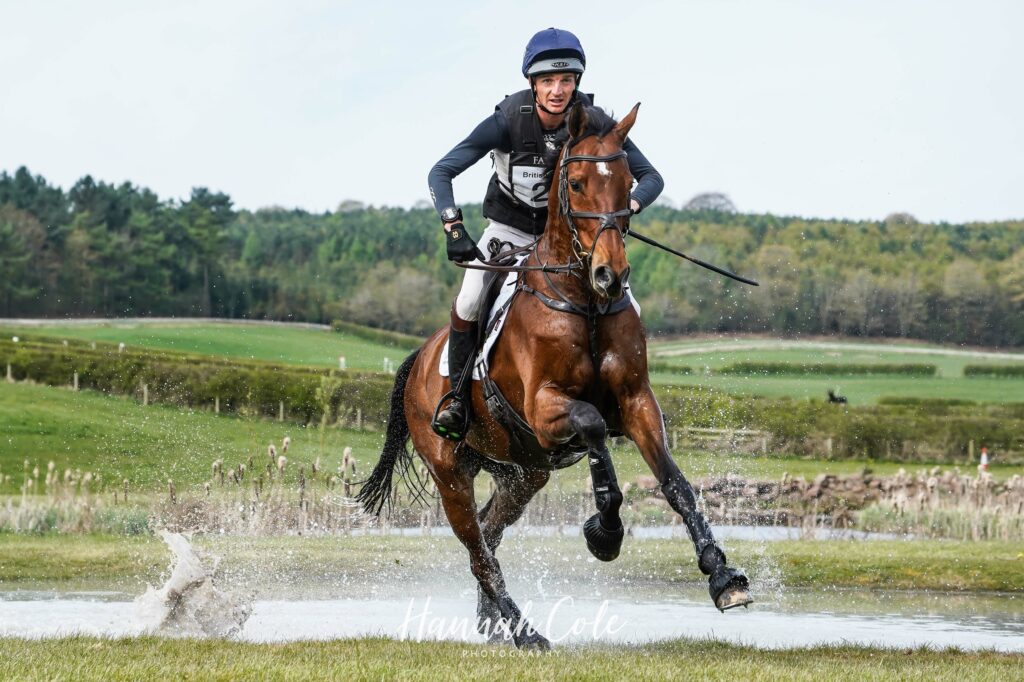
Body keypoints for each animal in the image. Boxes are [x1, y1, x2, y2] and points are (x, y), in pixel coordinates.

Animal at [358, 102, 751, 650]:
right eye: (578, 184)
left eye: (627, 183)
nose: (612, 276)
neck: (584, 302)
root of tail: (418, 359)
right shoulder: (546, 410)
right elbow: (592, 426)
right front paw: (604, 532)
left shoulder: (636, 401)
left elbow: (676, 484)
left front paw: (723, 577)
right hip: (450, 473)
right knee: (478, 550)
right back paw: (525, 632)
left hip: (523, 473)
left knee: (489, 536)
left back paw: (493, 623)